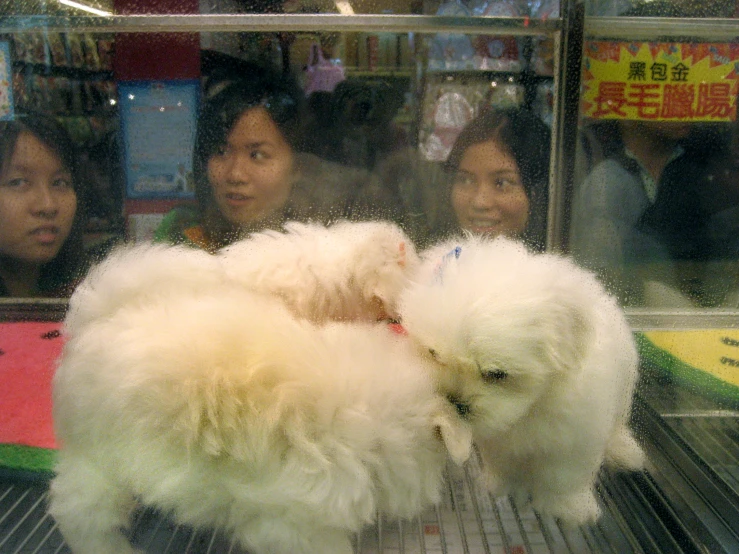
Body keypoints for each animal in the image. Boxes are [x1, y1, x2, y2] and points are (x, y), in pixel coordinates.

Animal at [396, 235, 644, 524]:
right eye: (434, 354)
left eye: (496, 374)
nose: (455, 402)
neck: (532, 407)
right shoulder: (500, 443)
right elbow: (505, 464)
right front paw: (502, 486)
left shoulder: (574, 440)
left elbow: (563, 477)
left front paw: (568, 508)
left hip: (624, 388)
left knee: (618, 424)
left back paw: (625, 450)